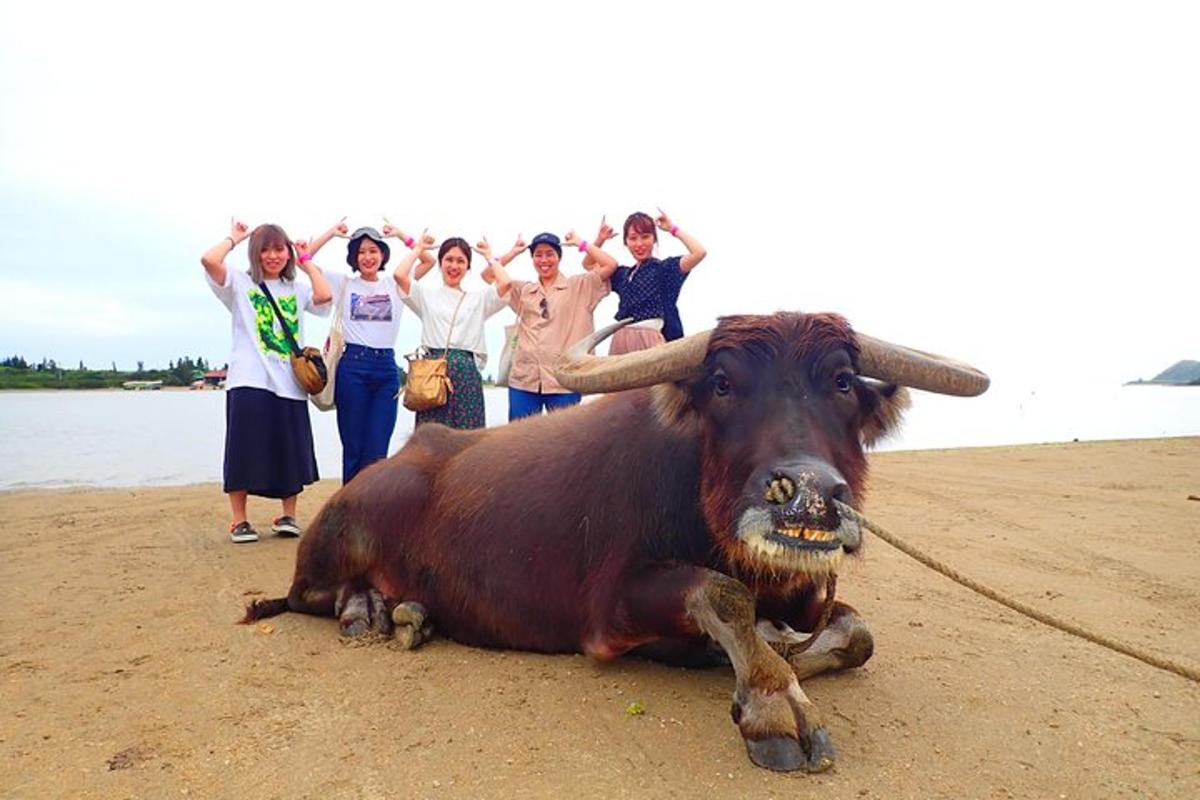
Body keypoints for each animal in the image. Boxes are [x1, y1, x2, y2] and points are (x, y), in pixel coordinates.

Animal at [241, 311, 984, 767]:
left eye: (842, 382)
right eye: (723, 384)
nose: (808, 493)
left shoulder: (809, 595)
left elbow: (857, 635)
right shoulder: (608, 610)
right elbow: (724, 595)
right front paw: (776, 700)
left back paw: (410, 612)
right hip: (349, 524)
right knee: (306, 593)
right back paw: (368, 610)